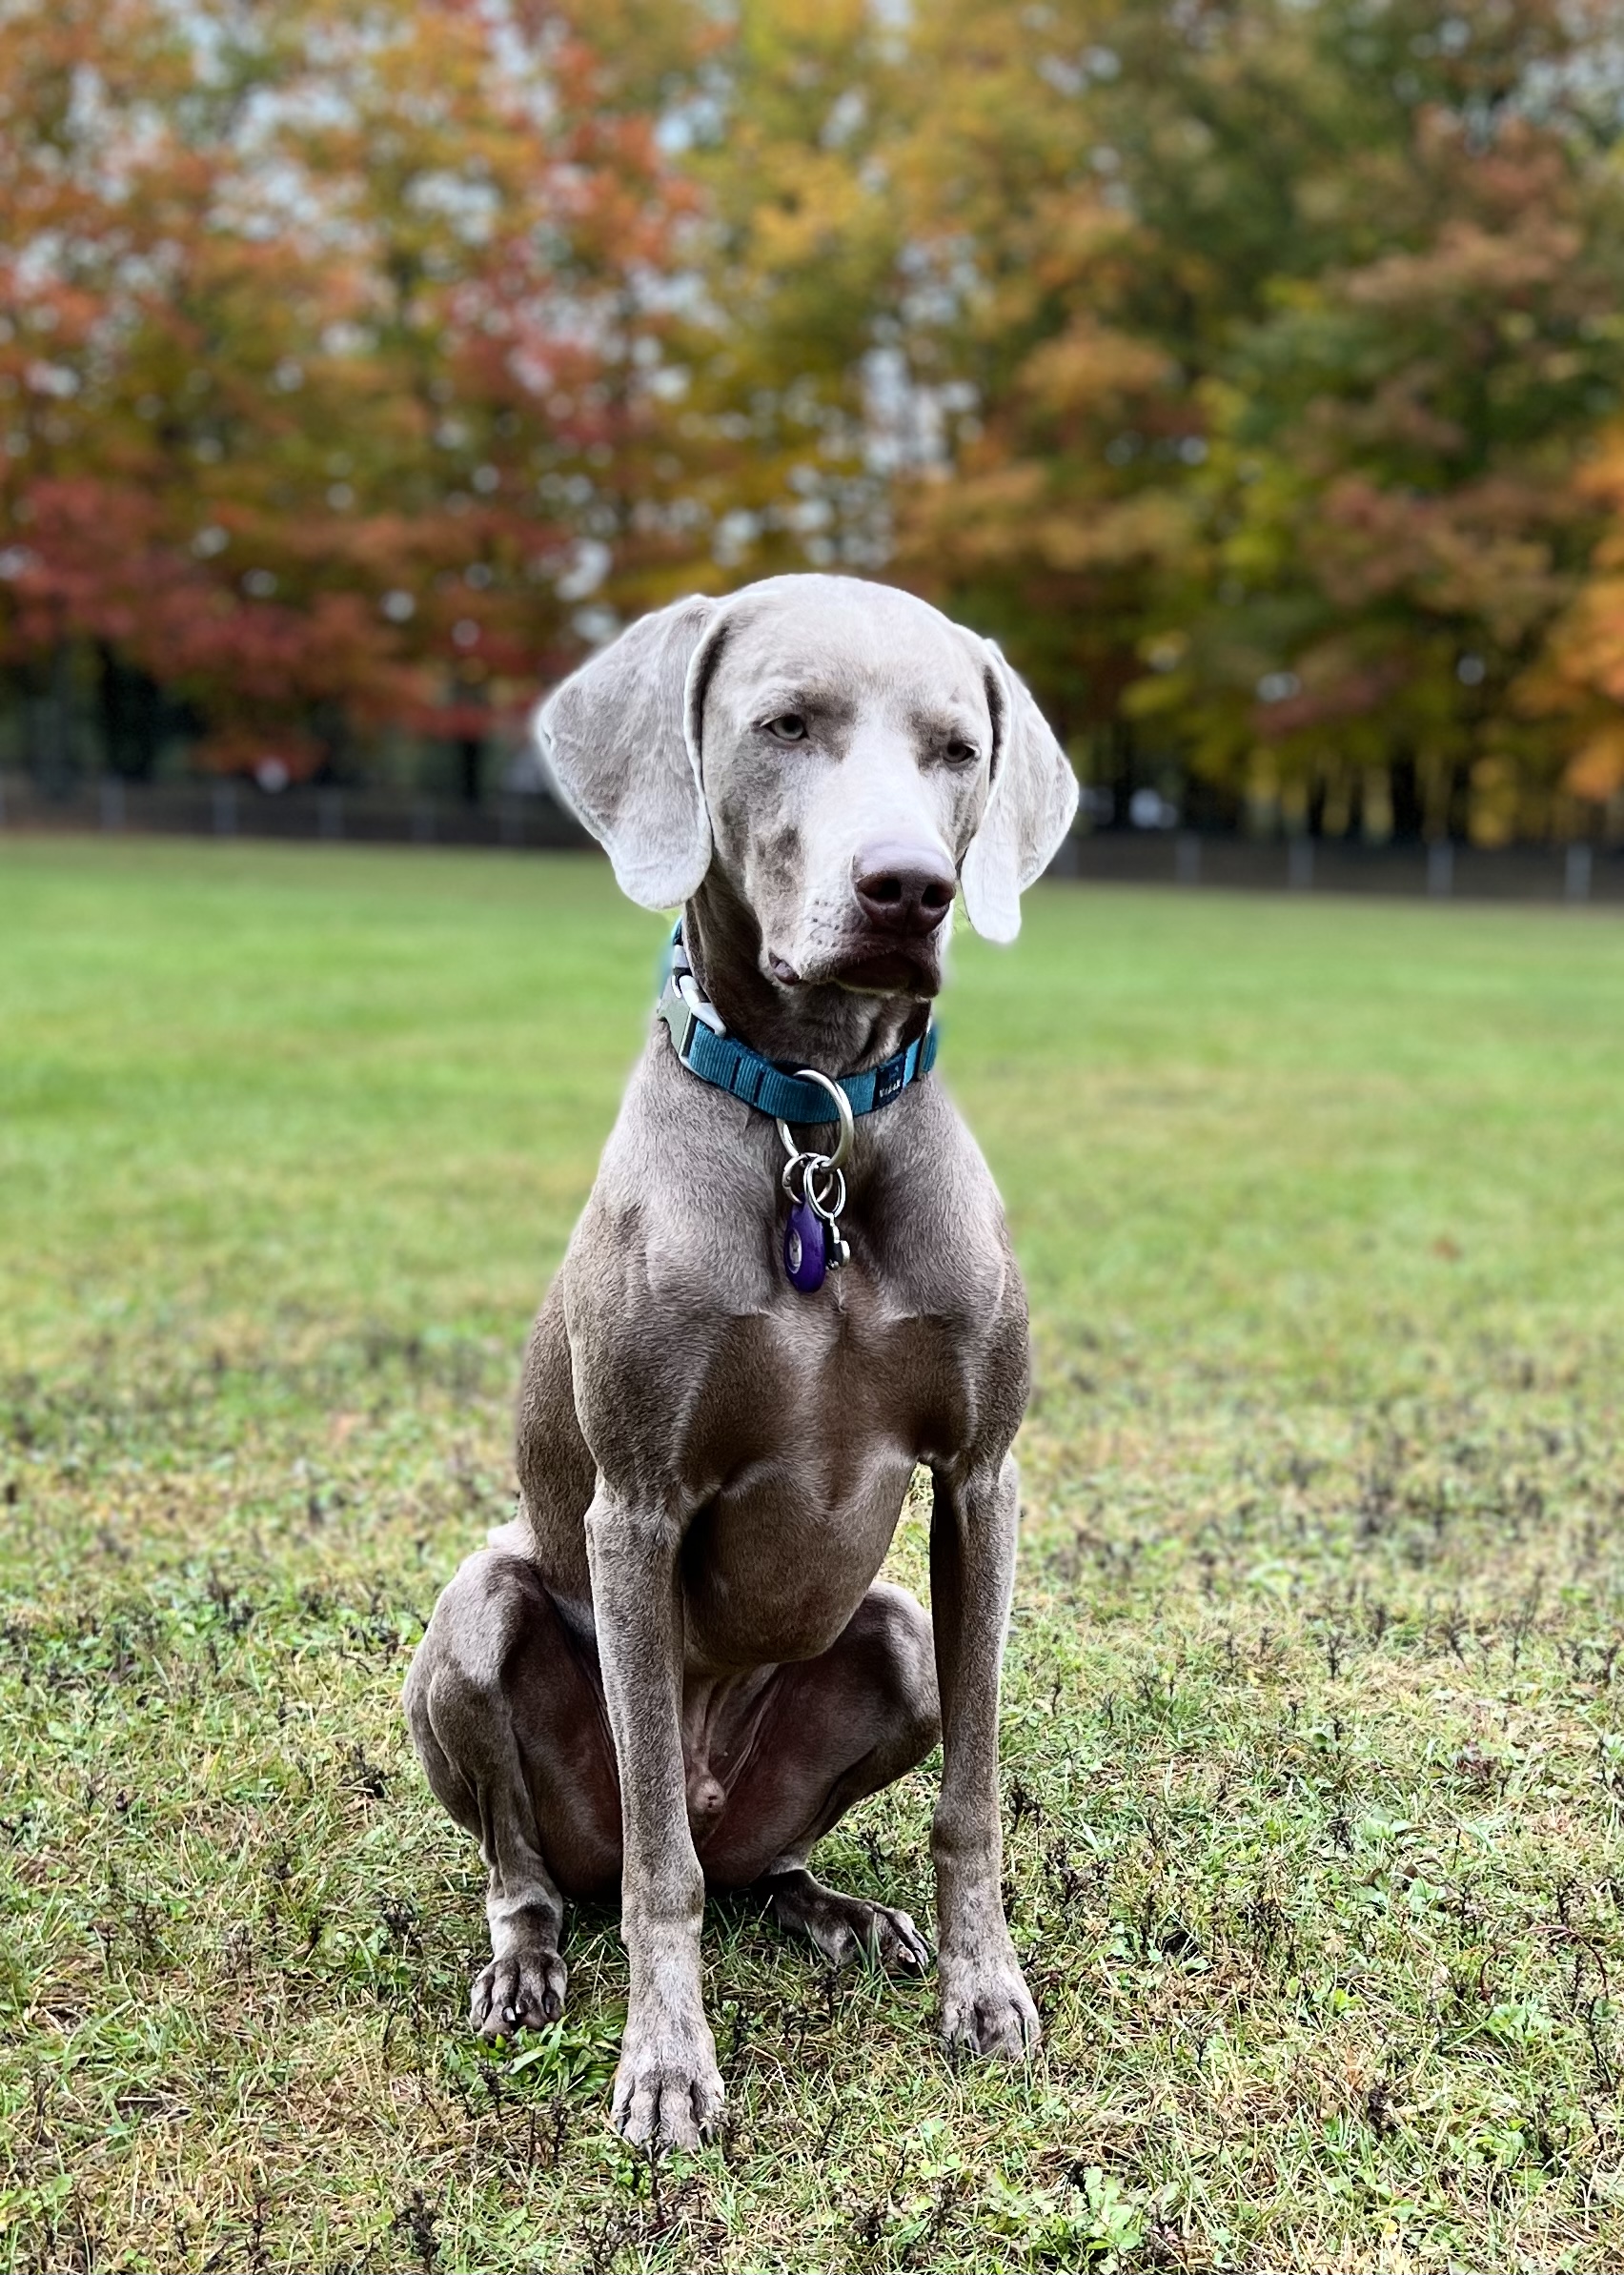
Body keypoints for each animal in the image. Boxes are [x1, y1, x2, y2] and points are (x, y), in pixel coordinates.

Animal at [404, 572, 1077, 2149]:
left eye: (958, 749)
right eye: (784, 724)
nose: (909, 888)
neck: (816, 1115)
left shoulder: (984, 1479)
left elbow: (973, 1793)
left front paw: (986, 1987)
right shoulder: (634, 1509)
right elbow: (663, 1867)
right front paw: (666, 2065)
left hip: (891, 1638)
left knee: (756, 1858)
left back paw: (835, 1910)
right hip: (478, 1619)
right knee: (561, 1863)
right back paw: (528, 1960)